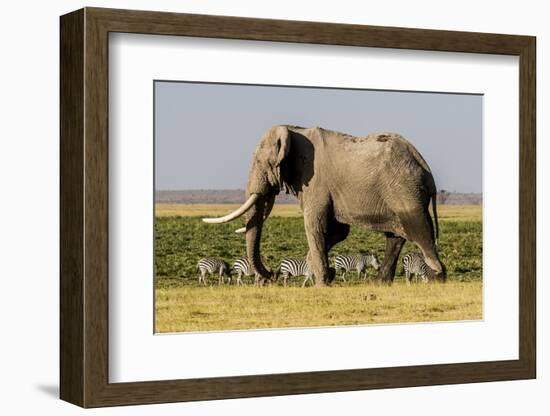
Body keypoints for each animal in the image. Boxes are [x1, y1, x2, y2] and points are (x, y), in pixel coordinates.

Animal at [205, 123, 446, 286]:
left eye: (259, 162)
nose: (271, 275)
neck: (294, 131)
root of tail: (425, 168)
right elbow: (338, 231)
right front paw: (320, 273)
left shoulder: (315, 181)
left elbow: (315, 226)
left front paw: (321, 283)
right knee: (395, 236)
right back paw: (380, 283)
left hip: (405, 190)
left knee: (419, 229)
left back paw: (437, 277)